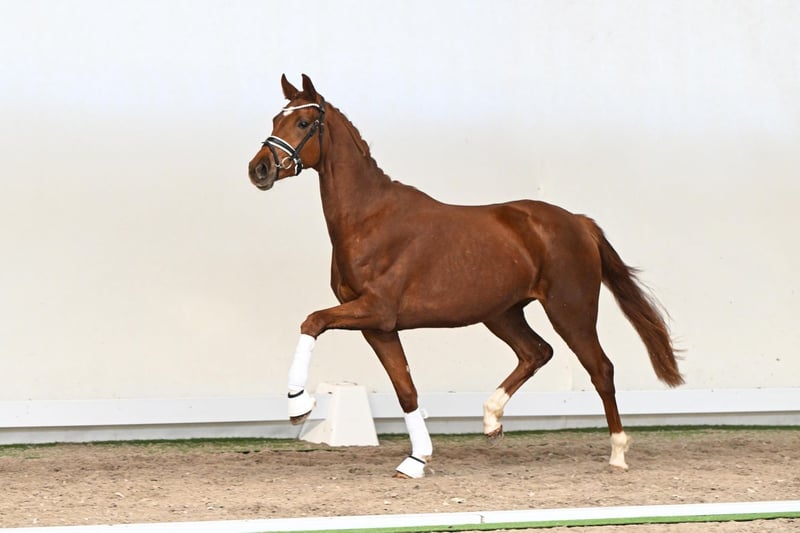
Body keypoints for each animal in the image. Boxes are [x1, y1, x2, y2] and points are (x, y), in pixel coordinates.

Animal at [248, 74, 683, 479]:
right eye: (276, 119)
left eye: (304, 122)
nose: (259, 169)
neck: (369, 219)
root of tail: (579, 222)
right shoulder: (378, 326)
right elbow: (406, 389)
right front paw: (416, 459)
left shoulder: (375, 310)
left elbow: (312, 321)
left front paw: (299, 403)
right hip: (502, 313)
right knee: (536, 352)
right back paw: (491, 419)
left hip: (570, 311)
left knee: (600, 369)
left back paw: (618, 453)